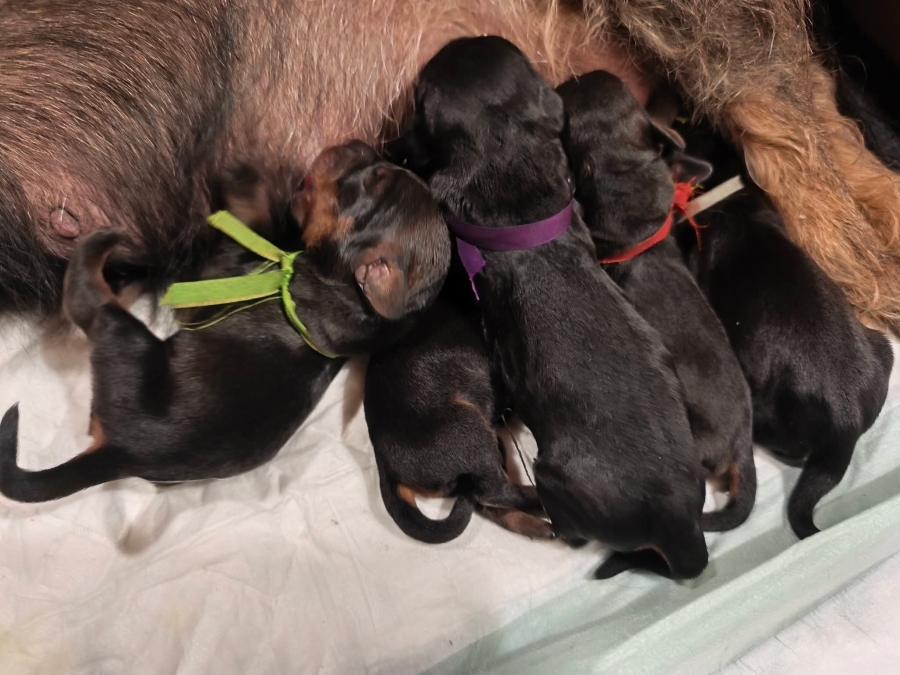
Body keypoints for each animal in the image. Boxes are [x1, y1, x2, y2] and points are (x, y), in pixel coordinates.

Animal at [0, 141, 451, 502]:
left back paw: (99, 249)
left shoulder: (214, 280)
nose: (358, 143)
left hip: (131, 345)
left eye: (372, 179)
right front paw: (251, 174)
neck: (343, 291)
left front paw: (244, 177)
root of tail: (120, 454)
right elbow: (263, 221)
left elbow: (250, 226)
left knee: (90, 304)